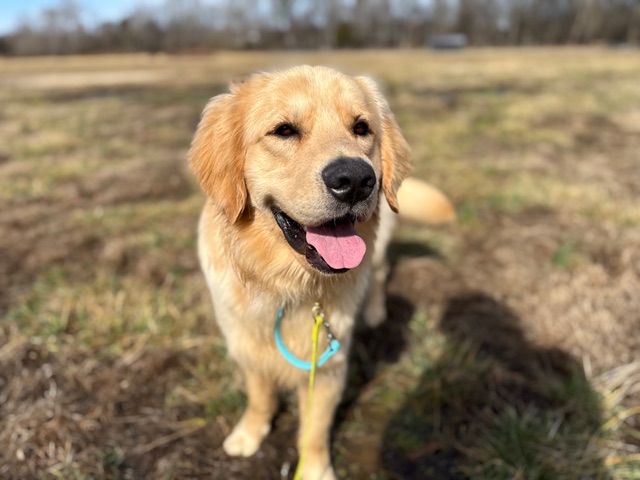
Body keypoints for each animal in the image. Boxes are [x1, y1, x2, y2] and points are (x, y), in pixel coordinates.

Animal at [189, 65, 454, 479]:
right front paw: (249, 433)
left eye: (361, 128)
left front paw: (314, 470)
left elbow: (314, 430)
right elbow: (259, 397)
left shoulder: (329, 367)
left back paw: (374, 312)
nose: (356, 180)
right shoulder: (247, 345)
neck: (288, 287)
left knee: (380, 272)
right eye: (284, 130)